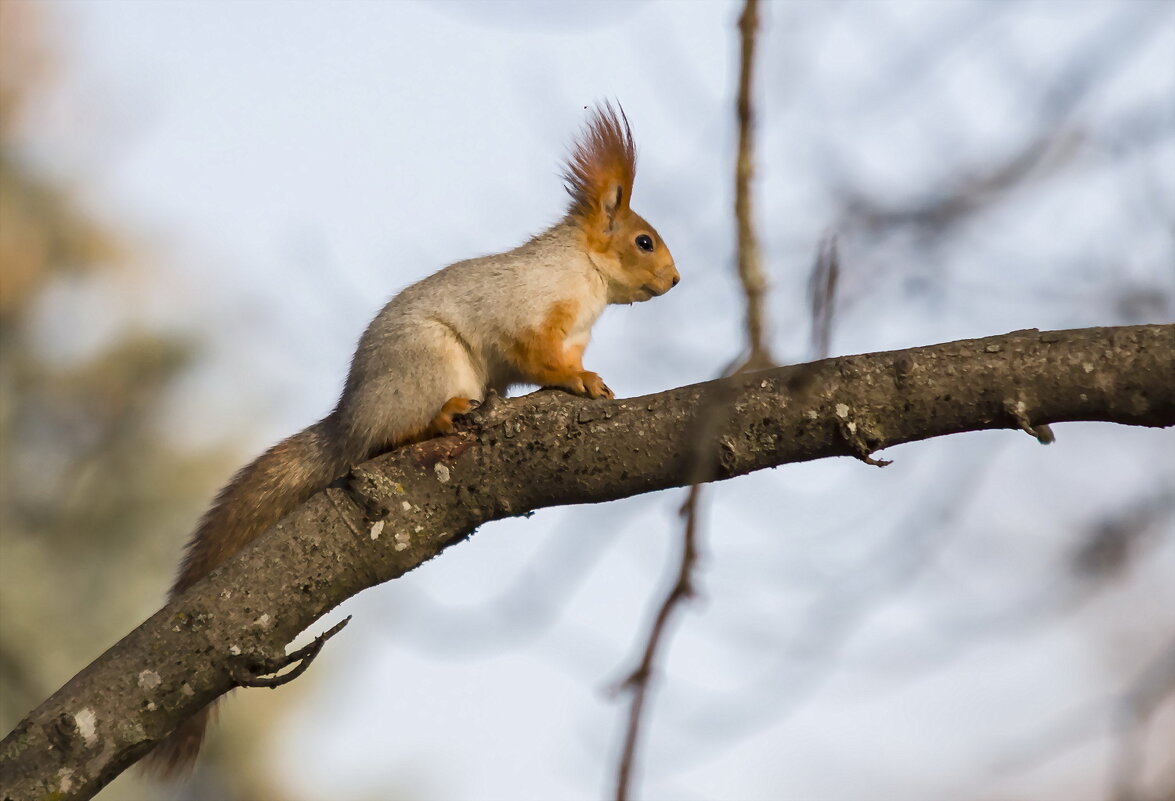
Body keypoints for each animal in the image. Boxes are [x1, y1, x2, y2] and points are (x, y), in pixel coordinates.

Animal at [145, 101, 681, 775]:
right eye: (644, 240)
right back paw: (445, 417)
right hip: (431, 366)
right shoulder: (531, 318)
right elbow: (538, 356)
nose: (676, 279)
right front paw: (581, 381)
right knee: (396, 435)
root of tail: (348, 423)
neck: (584, 276)